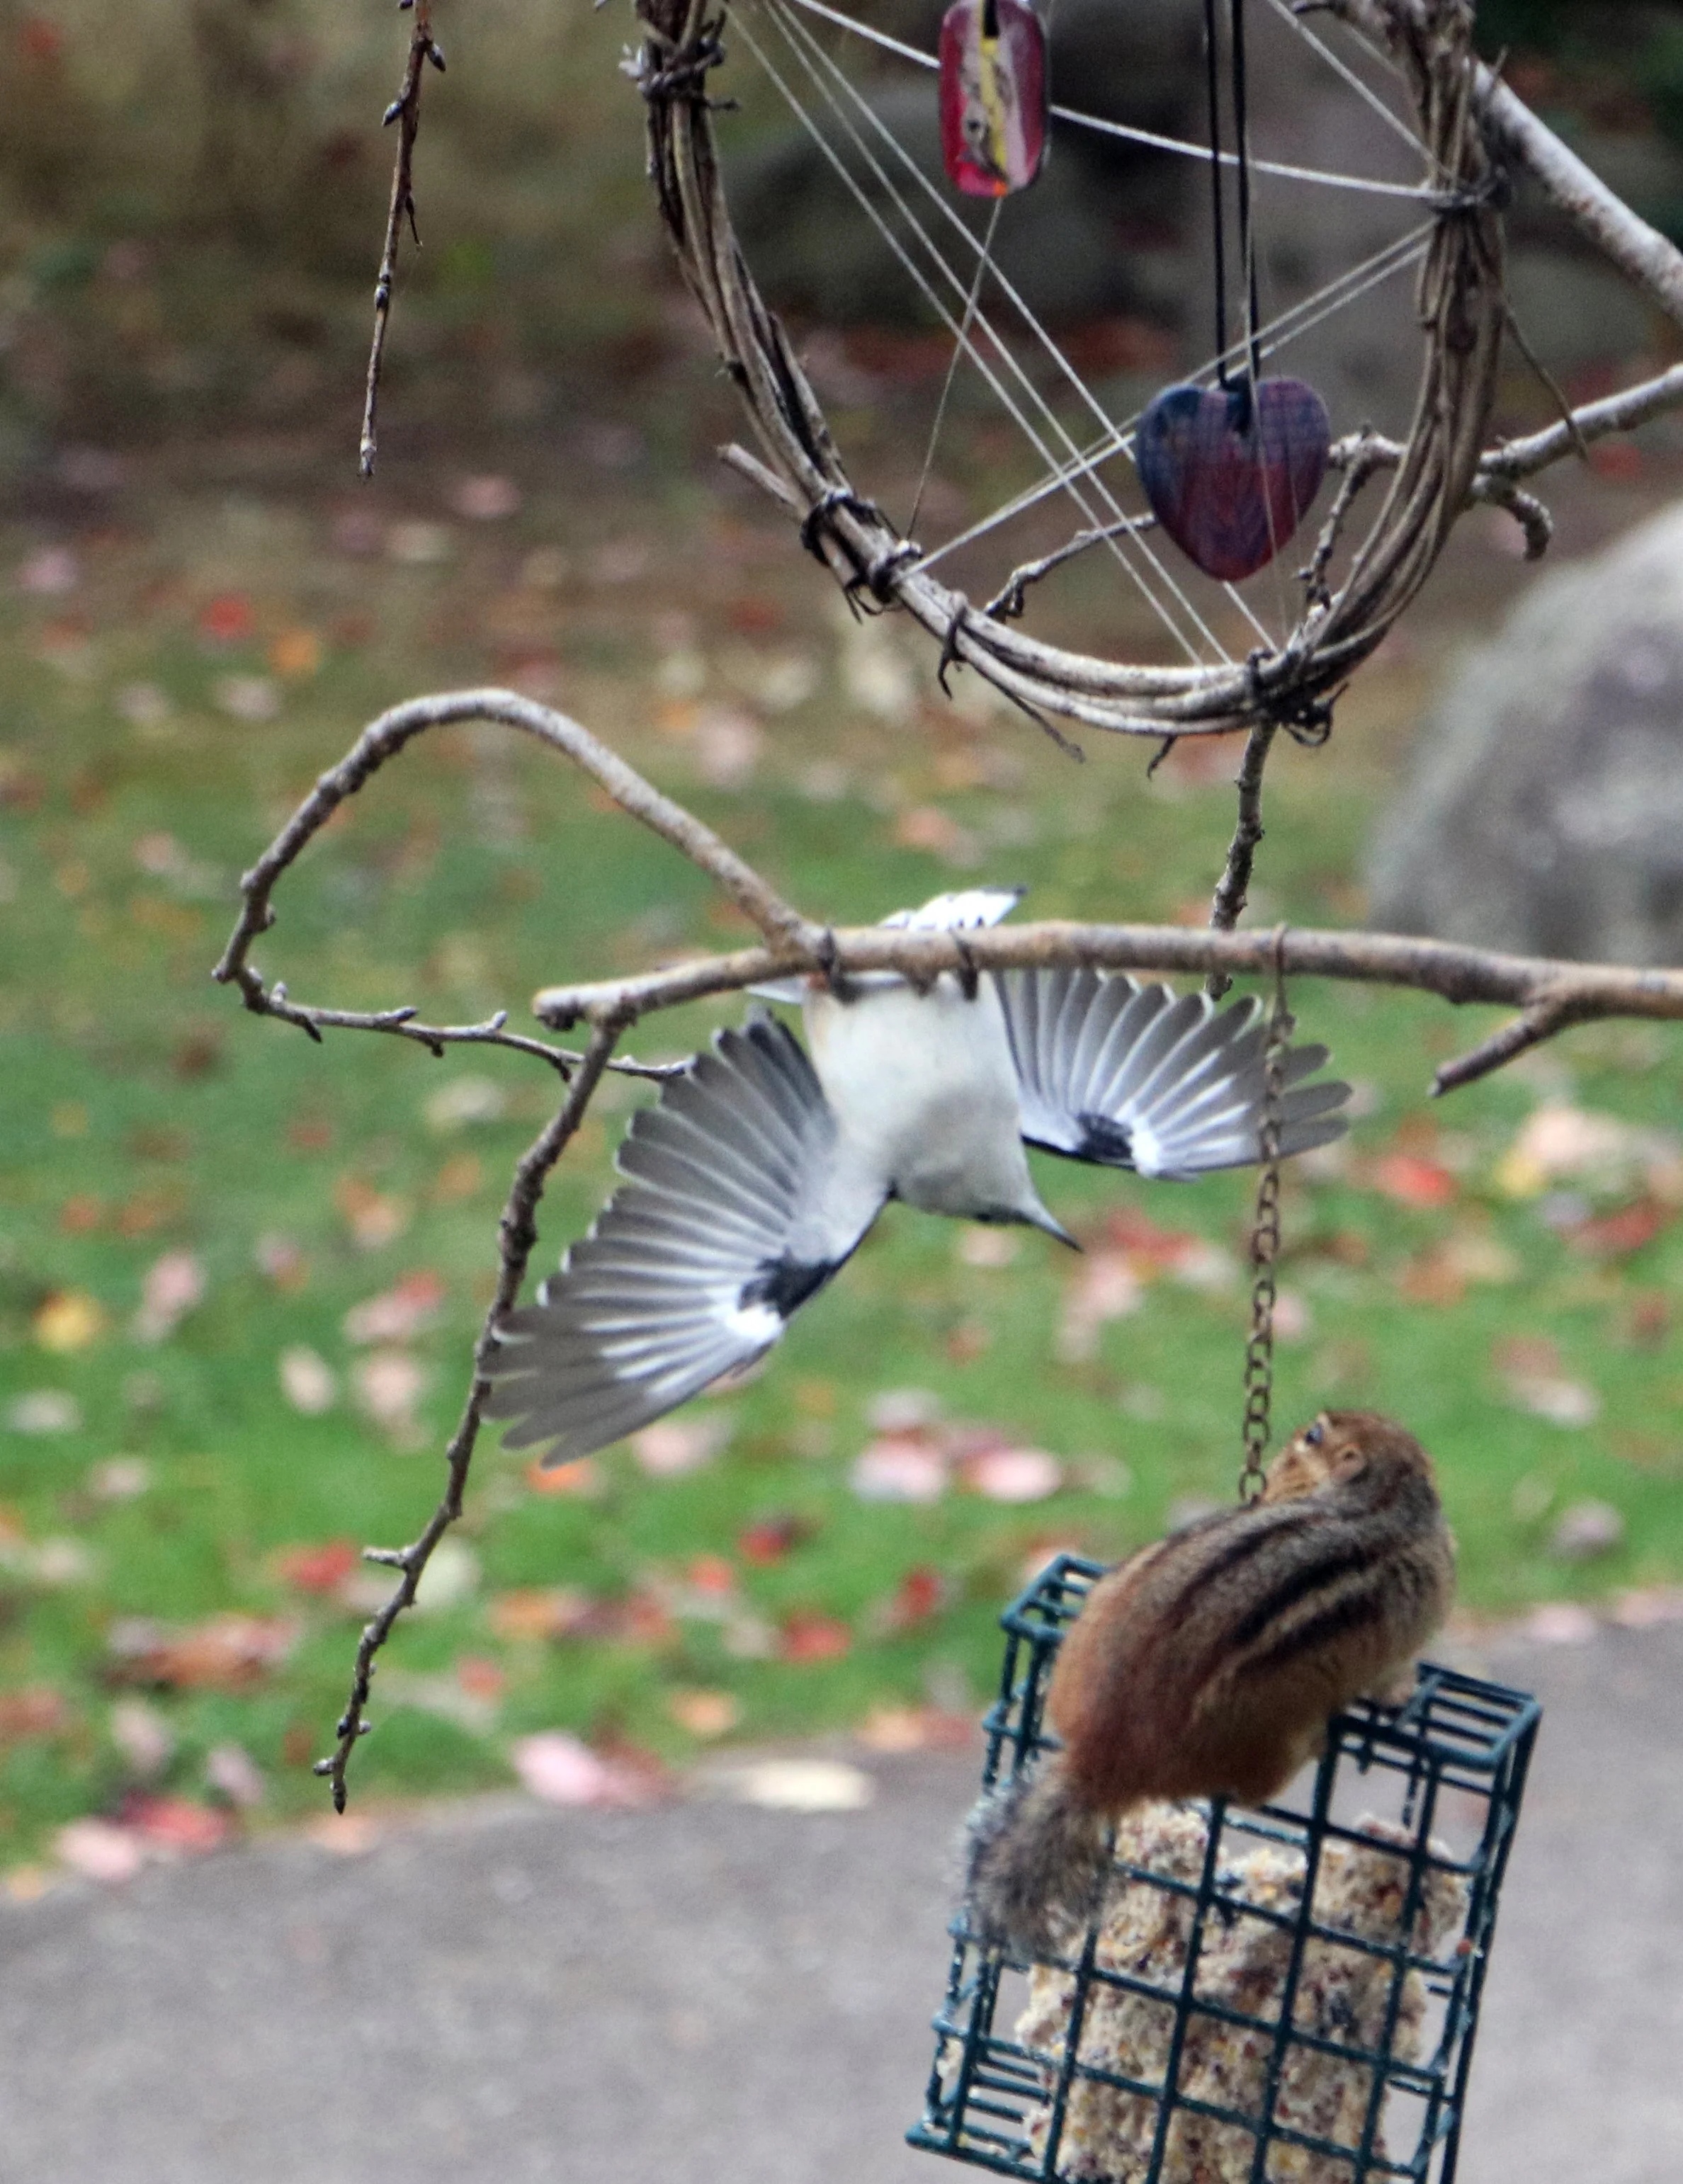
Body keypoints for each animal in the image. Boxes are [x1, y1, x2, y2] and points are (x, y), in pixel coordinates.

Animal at [963, 1409, 1455, 1958]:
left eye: (1312, 1437)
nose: (1276, 1468)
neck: (1383, 1506)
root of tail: (1102, 1758)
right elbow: (1389, 1681)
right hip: (1267, 1751)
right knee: (1251, 1793)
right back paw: (1318, 1741)